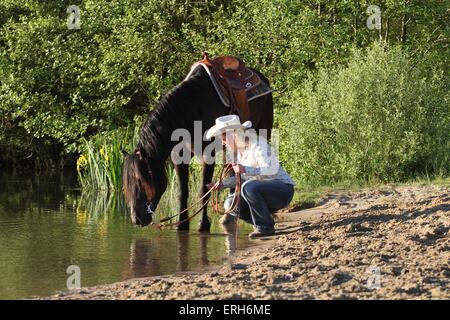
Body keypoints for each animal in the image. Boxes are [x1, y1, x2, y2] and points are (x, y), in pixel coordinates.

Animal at [121, 63, 272, 231]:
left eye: (141, 180)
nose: (136, 219)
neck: (189, 111)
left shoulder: (208, 155)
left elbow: (204, 190)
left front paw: (203, 224)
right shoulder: (179, 157)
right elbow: (183, 191)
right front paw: (182, 224)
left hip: (263, 131)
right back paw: (228, 216)